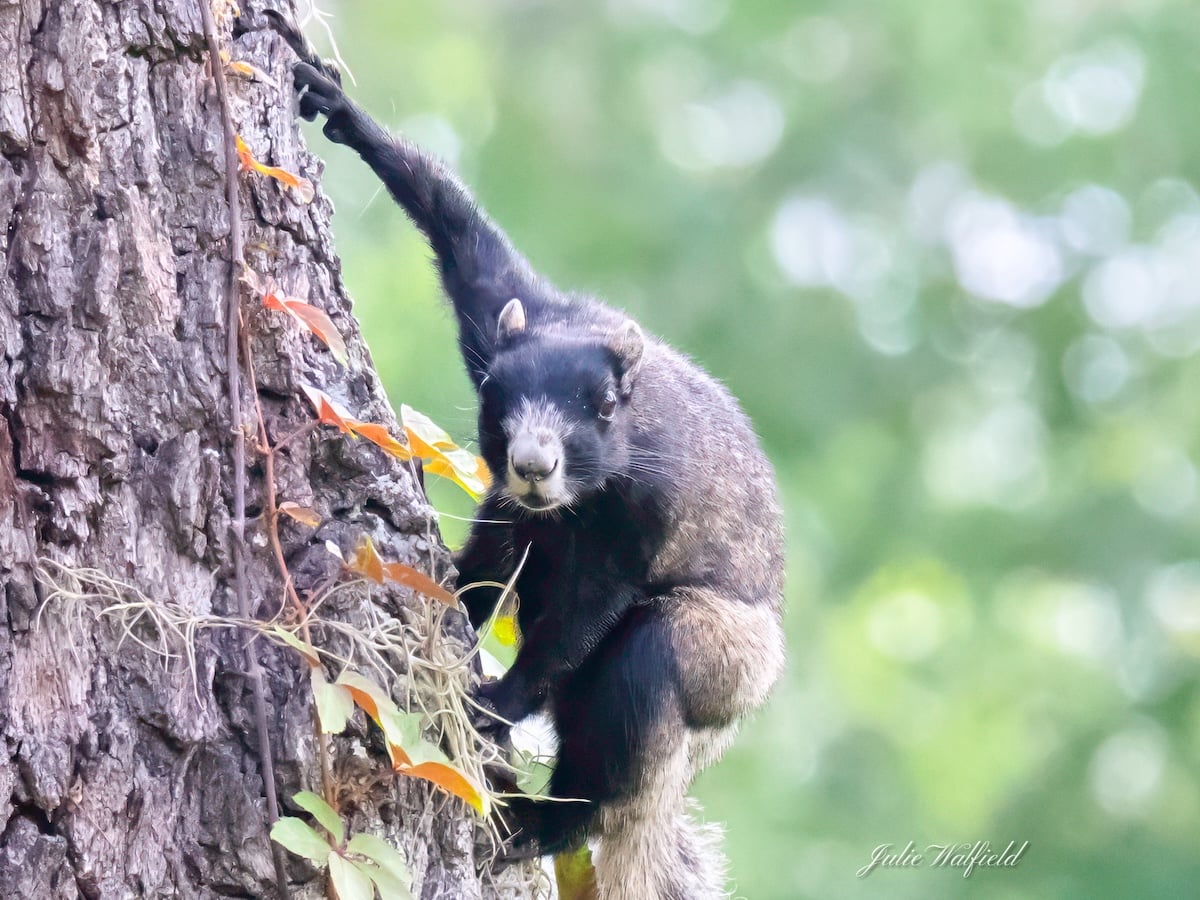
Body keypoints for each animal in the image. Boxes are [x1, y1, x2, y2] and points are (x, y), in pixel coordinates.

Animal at [272, 15, 786, 899]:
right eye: (493, 396)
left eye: (604, 405)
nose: (534, 464)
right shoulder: (504, 322)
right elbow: (470, 245)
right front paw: (343, 112)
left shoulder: (643, 516)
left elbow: (580, 618)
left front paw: (492, 704)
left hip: (706, 658)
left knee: (611, 737)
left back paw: (546, 819)